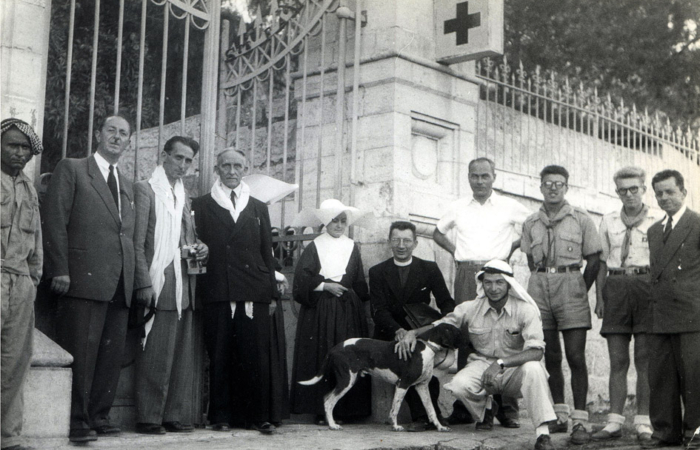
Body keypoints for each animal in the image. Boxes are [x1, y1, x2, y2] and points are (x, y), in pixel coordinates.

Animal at [298, 322, 462, 430]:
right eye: (456, 331)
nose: (466, 337)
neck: (426, 348)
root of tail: (334, 348)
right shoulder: (403, 384)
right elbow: (395, 408)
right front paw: (395, 426)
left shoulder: (421, 386)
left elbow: (431, 410)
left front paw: (440, 427)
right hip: (347, 380)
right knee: (329, 401)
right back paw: (333, 425)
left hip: (347, 380)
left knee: (326, 398)